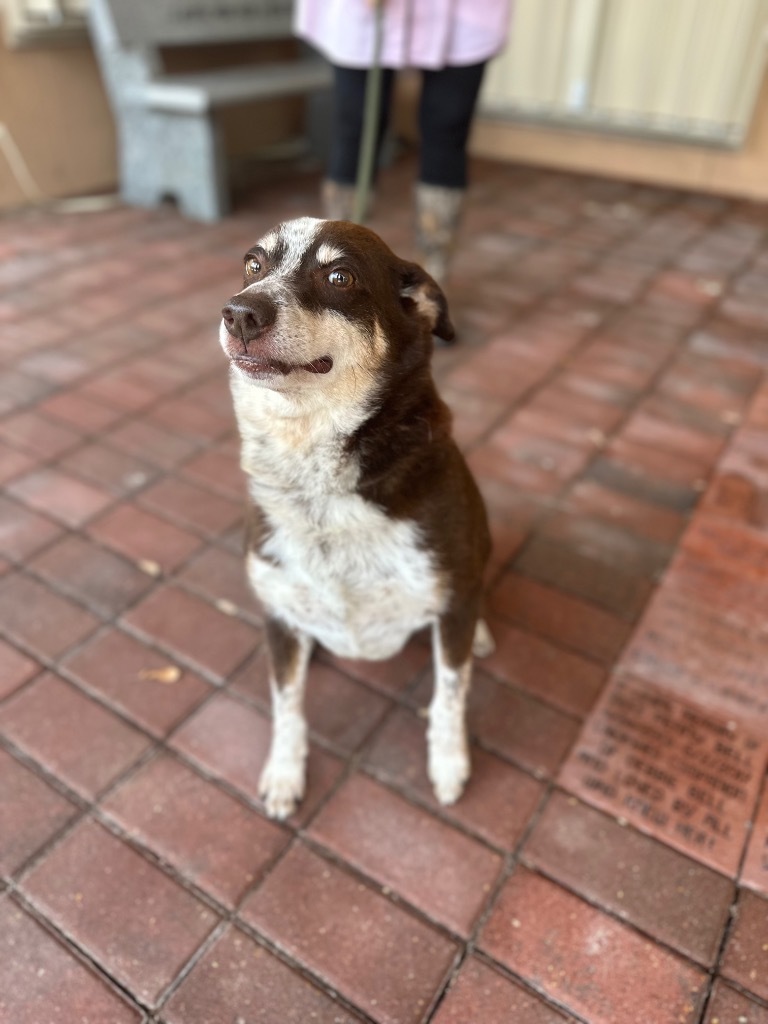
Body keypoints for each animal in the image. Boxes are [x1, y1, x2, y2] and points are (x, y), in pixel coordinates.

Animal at [218, 218, 493, 823]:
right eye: (253, 264)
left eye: (339, 276)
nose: (240, 312)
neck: (320, 488)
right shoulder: (278, 612)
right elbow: (287, 705)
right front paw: (285, 774)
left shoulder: (449, 606)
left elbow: (450, 694)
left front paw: (448, 766)